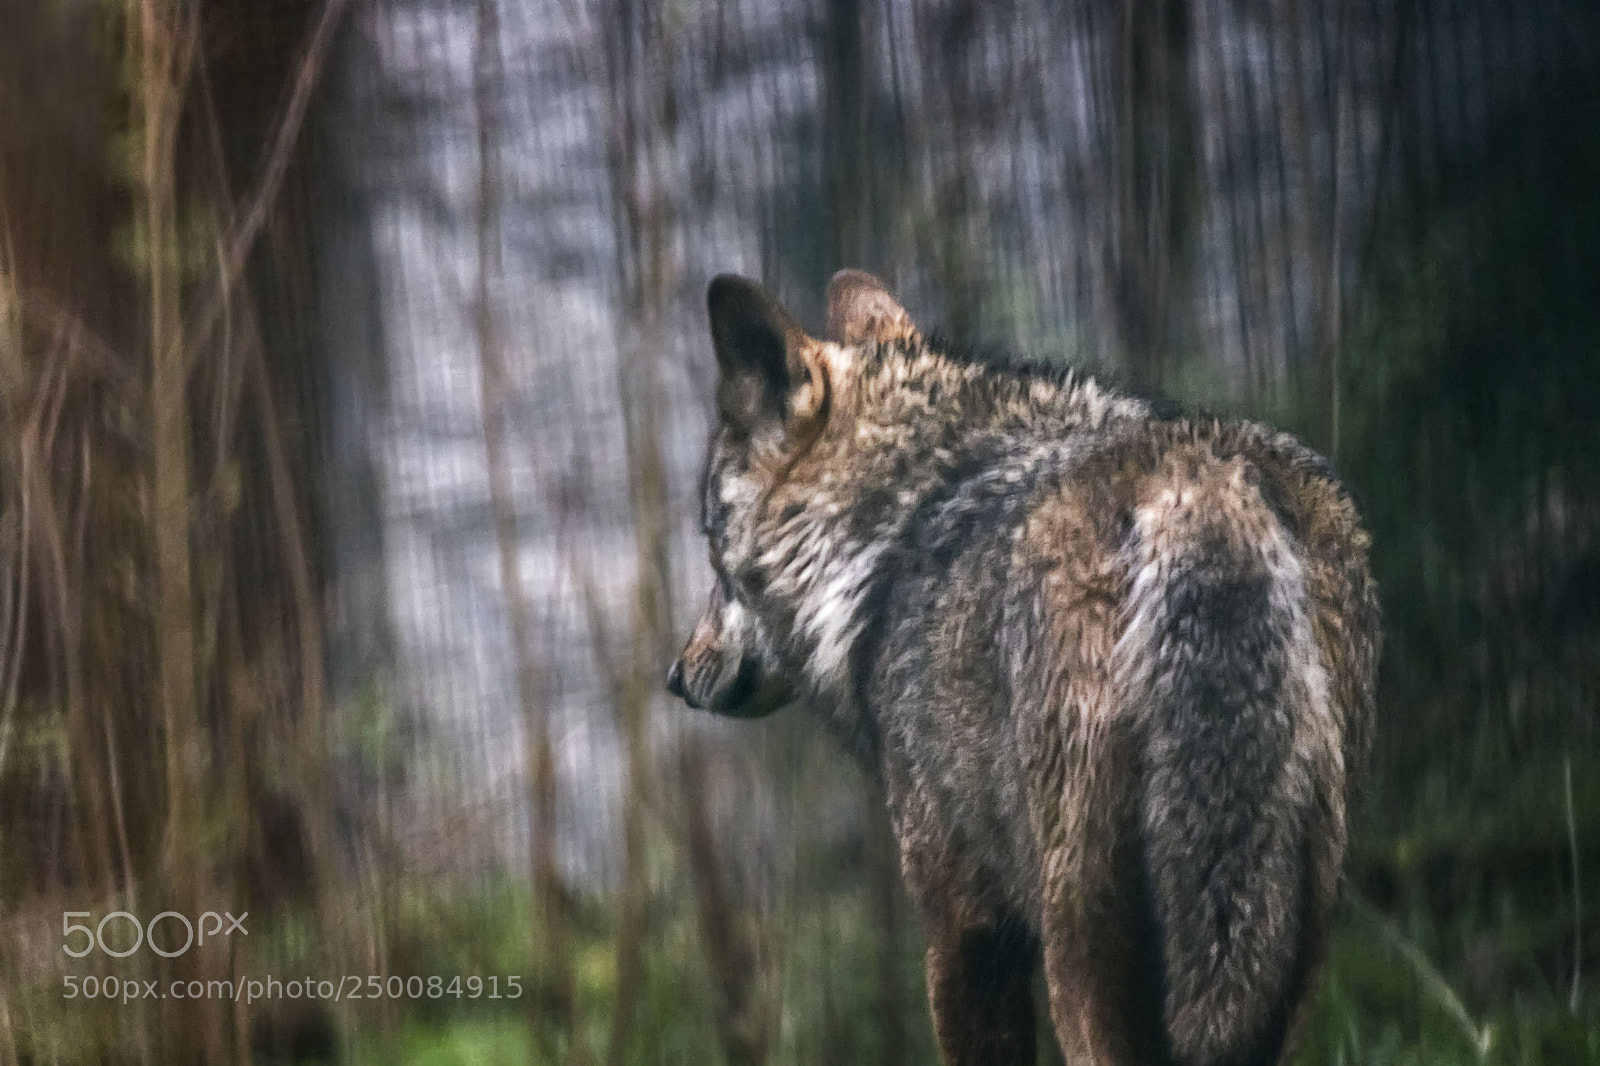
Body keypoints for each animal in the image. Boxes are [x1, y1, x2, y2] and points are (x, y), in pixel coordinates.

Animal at [667, 269, 1380, 1066]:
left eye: (711, 543)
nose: (676, 676)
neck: (893, 524)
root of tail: (1204, 488)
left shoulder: (964, 922)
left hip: (1080, 947)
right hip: (1291, 942)